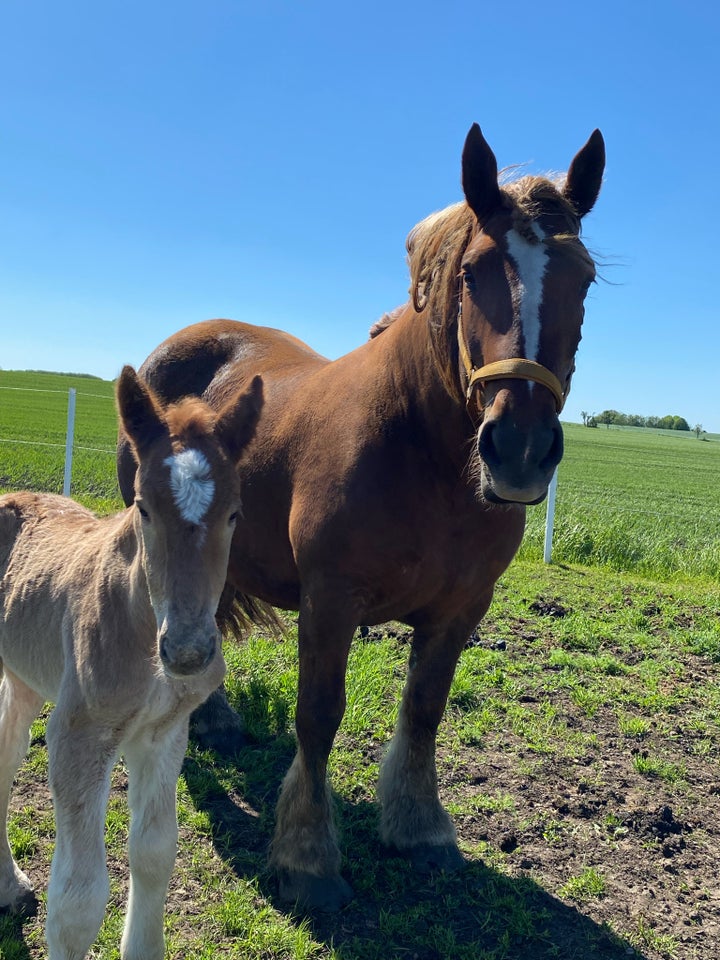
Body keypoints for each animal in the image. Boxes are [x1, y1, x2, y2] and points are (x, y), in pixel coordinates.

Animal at [0, 364, 262, 956]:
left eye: (235, 514)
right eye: (143, 506)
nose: (188, 652)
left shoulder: (164, 732)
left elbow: (155, 853)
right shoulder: (79, 735)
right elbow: (78, 899)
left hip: (24, 675)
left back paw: (9, 885)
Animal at [119, 124, 608, 912]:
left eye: (584, 277)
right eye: (474, 273)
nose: (521, 449)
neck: (424, 457)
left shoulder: (461, 609)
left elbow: (425, 710)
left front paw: (419, 826)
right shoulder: (330, 602)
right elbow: (318, 717)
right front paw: (307, 856)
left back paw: (216, 717)